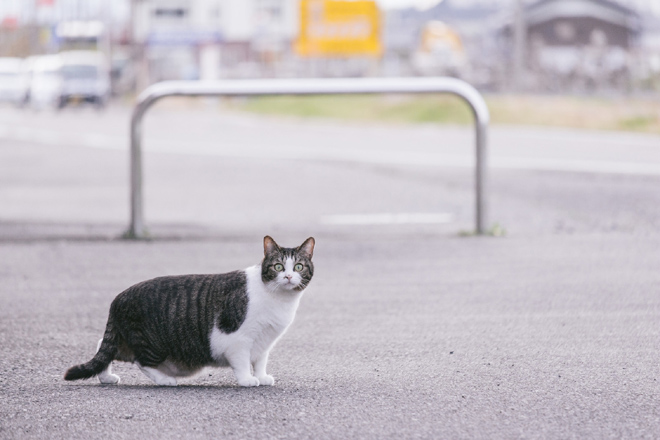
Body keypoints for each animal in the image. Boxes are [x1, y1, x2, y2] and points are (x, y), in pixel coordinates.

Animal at [63, 235, 316, 386]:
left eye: (298, 266)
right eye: (278, 266)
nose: (288, 276)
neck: (279, 300)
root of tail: (118, 298)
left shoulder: (264, 341)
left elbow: (260, 360)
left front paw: (262, 376)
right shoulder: (238, 338)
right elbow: (243, 361)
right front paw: (247, 379)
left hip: (124, 339)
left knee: (104, 347)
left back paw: (106, 377)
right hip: (152, 342)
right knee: (140, 361)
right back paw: (164, 380)